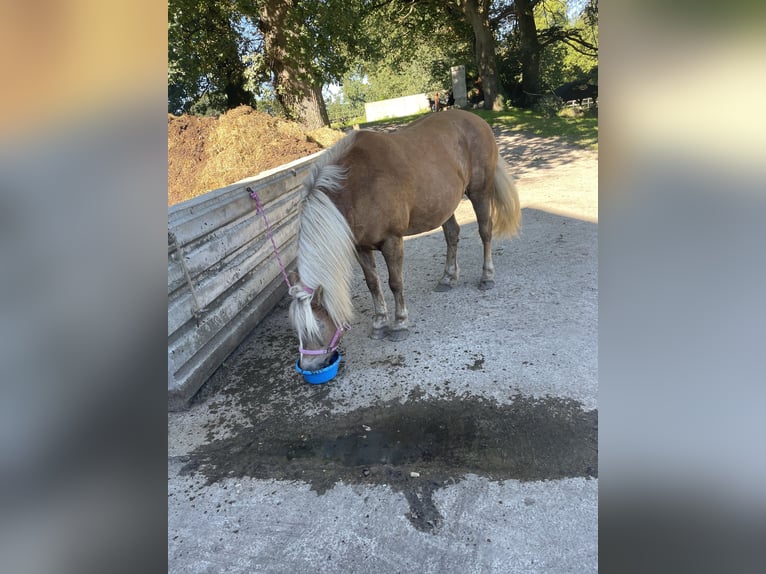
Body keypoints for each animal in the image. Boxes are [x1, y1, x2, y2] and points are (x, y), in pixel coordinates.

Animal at [288, 109, 520, 372]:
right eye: (297, 330)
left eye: (316, 328)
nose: (309, 365)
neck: (357, 187)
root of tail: (477, 120)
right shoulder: (361, 248)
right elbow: (373, 284)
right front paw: (379, 324)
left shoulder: (392, 241)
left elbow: (395, 283)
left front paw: (399, 325)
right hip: (444, 204)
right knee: (452, 234)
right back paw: (448, 278)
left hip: (480, 192)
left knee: (485, 232)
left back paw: (487, 276)